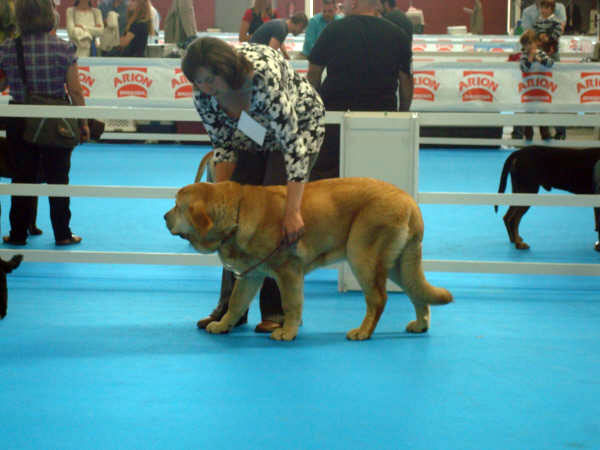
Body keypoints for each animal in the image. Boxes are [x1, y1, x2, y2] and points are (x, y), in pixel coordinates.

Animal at [164, 178, 450, 340]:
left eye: (177, 206)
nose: (164, 217)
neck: (236, 212)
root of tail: (411, 203)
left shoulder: (288, 271)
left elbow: (291, 304)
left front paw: (287, 332)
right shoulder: (251, 275)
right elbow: (236, 303)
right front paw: (223, 325)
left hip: (363, 257)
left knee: (378, 299)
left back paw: (363, 332)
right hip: (398, 265)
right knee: (416, 291)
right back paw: (421, 325)